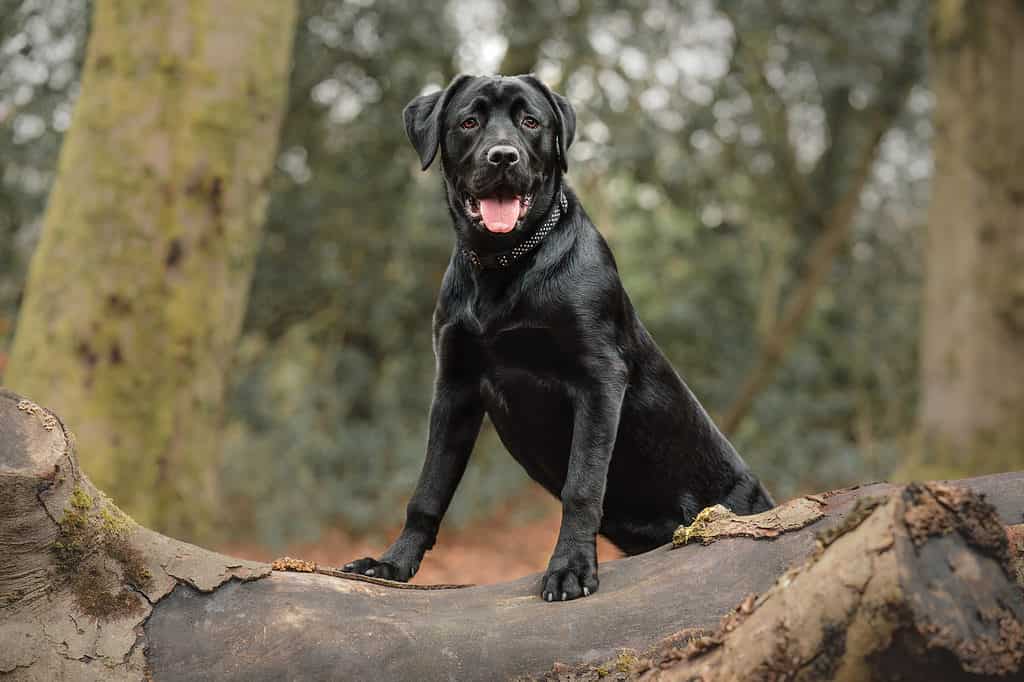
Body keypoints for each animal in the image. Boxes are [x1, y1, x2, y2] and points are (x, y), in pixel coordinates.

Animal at [342, 74, 770, 602]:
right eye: (469, 121)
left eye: (531, 121)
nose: (503, 157)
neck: (505, 264)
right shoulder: (455, 387)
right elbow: (428, 489)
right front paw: (392, 564)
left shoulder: (599, 380)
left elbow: (582, 486)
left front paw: (570, 568)